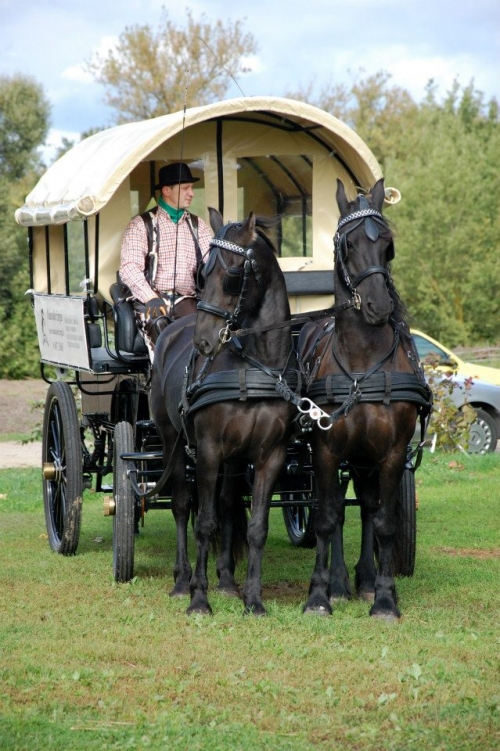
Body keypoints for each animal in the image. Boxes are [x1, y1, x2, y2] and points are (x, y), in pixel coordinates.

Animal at [150, 209, 298, 612]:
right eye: (202, 272)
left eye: (232, 275)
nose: (202, 341)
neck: (256, 365)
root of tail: (172, 327)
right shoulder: (208, 449)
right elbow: (203, 521)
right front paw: (199, 599)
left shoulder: (271, 456)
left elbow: (257, 526)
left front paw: (254, 600)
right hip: (172, 440)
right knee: (182, 505)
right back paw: (182, 580)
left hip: (233, 458)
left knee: (229, 504)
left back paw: (228, 581)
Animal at [298, 179, 432, 620]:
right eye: (348, 243)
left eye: (388, 244)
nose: (379, 306)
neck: (361, 363)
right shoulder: (325, 449)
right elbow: (326, 518)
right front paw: (319, 595)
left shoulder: (391, 451)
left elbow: (384, 521)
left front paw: (385, 598)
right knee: (339, 508)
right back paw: (340, 583)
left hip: (364, 456)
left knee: (370, 507)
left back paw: (366, 580)